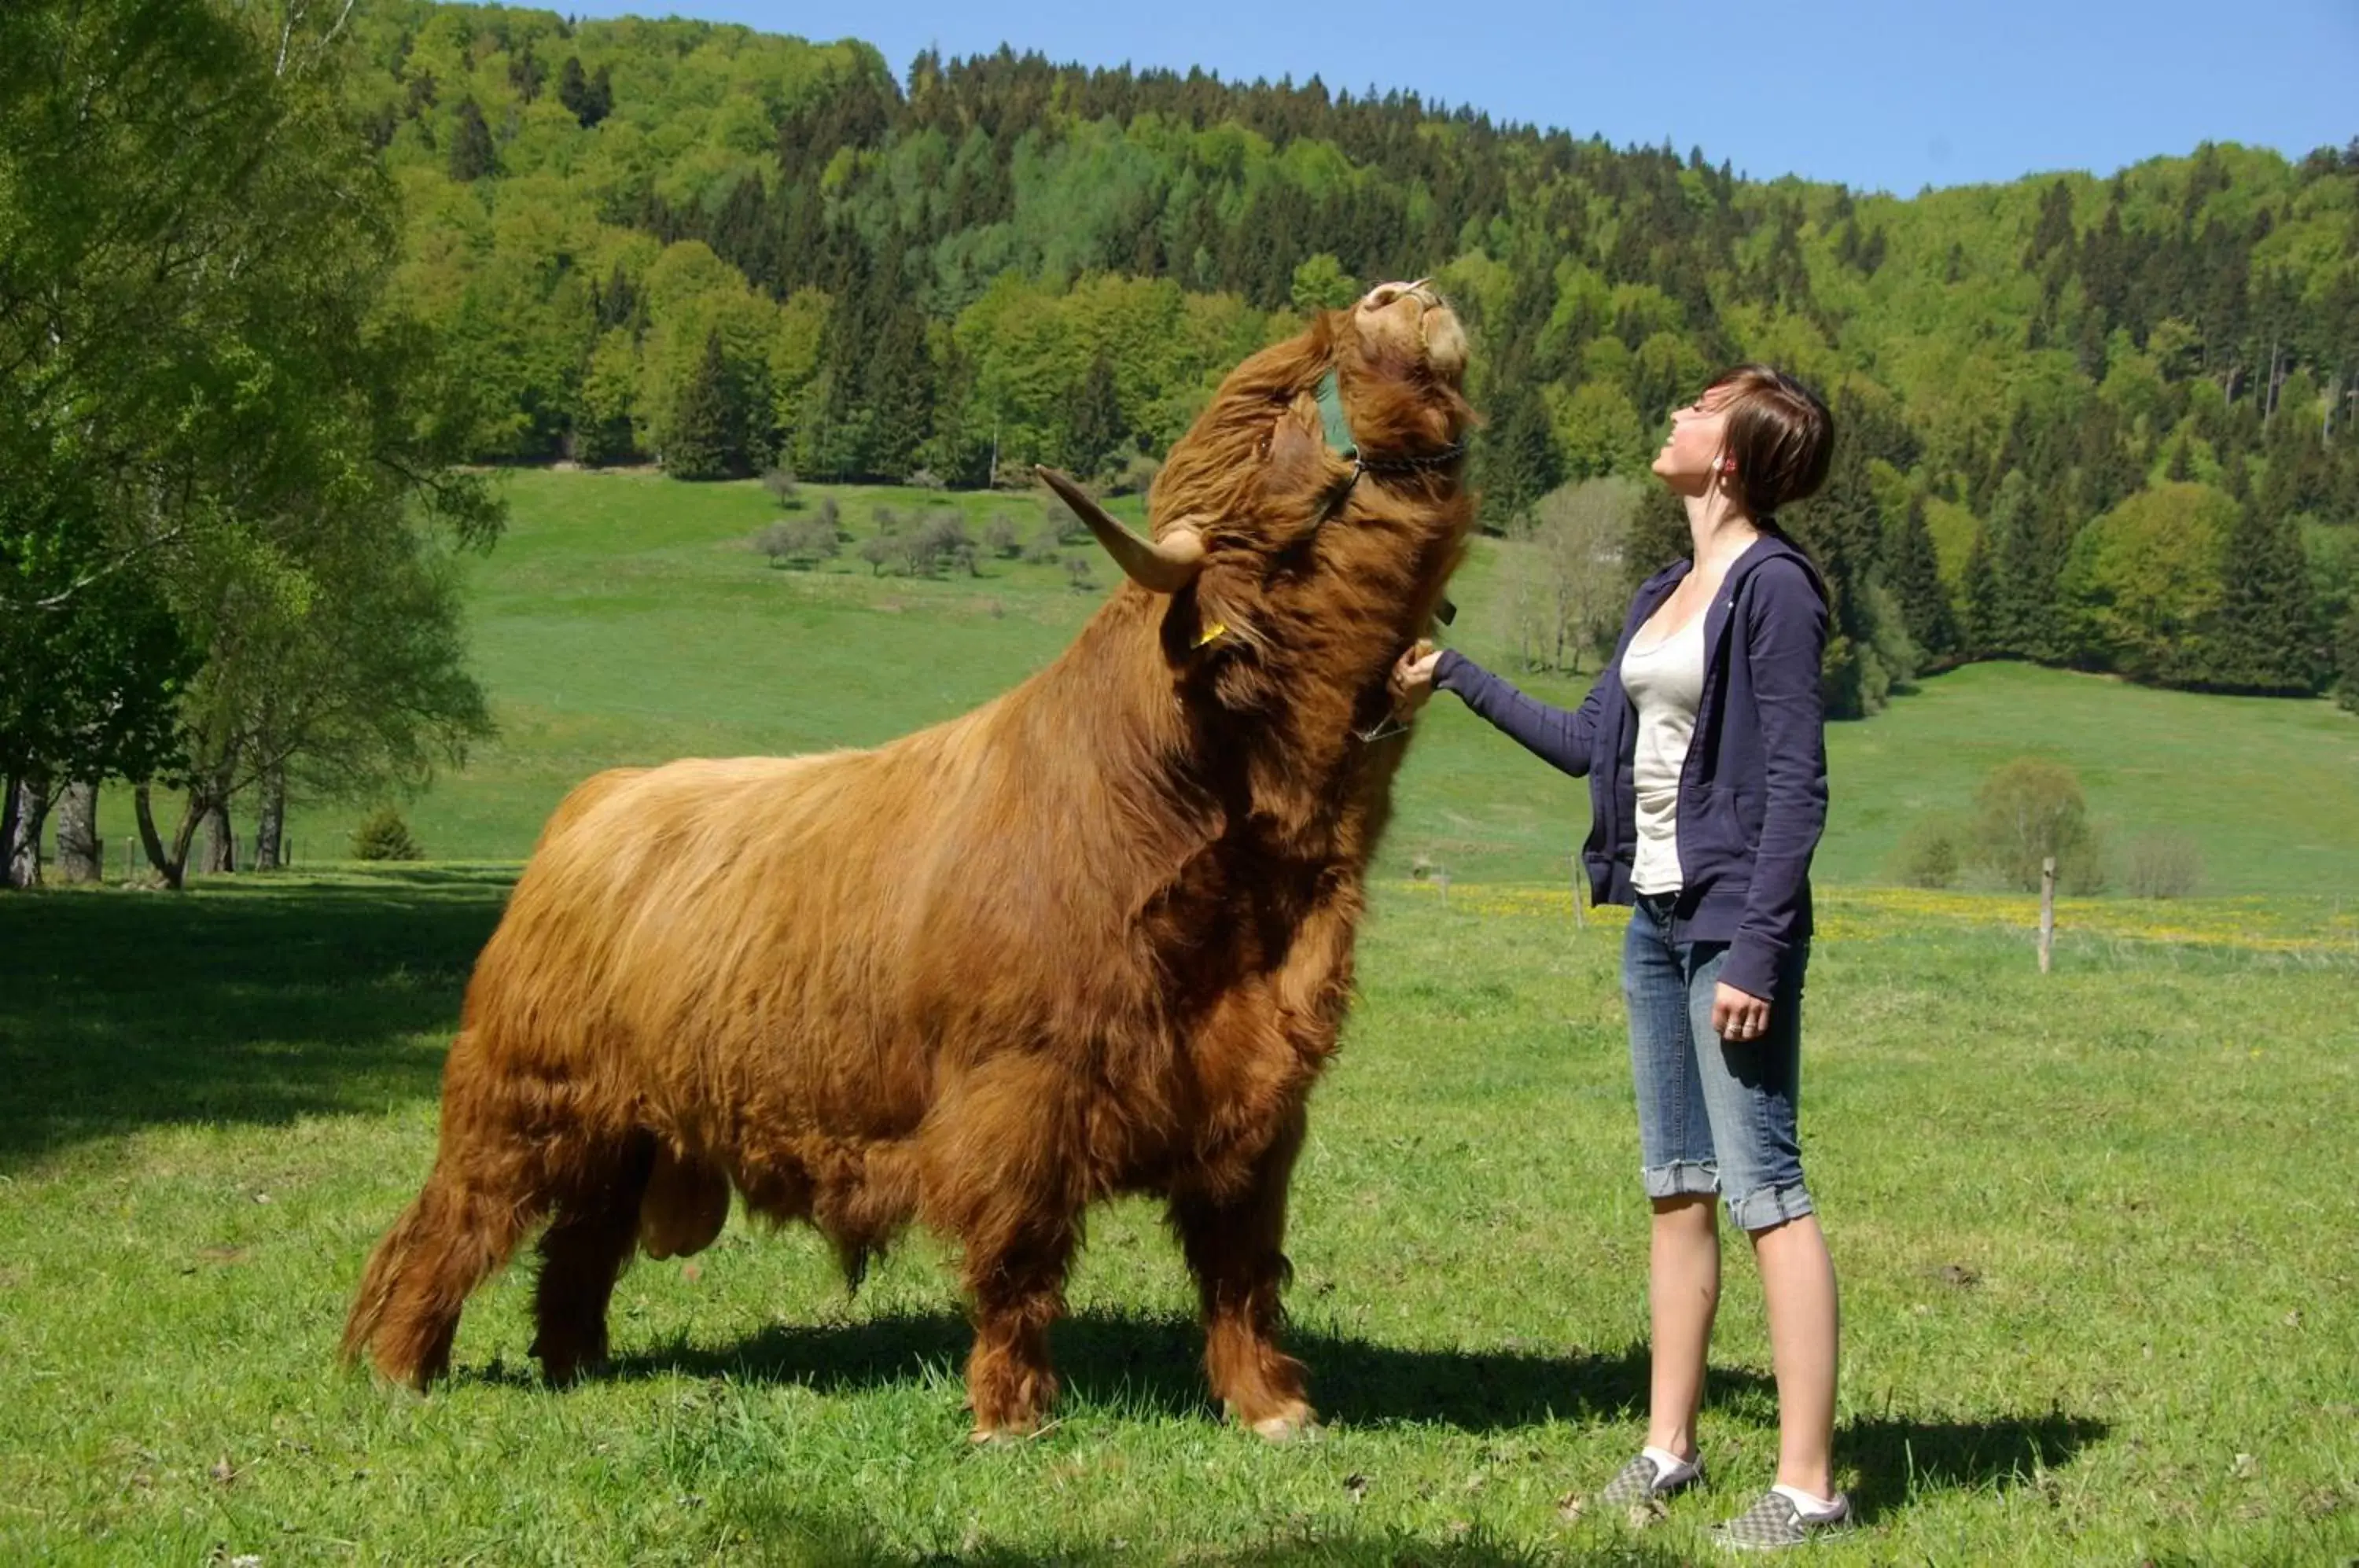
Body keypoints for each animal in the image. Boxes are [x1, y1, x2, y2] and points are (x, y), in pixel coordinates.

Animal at [342, 278, 1472, 1434]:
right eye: (1293, 407)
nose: (1401, 292)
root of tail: (600, 799)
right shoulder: (1016, 1093)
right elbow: (1019, 1261)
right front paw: (1013, 1414)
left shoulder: (1260, 1108)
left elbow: (1241, 1270)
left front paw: (1272, 1406)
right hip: (520, 1097)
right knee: (454, 1224)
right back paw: (399, 1369)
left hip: (630, 1127)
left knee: (579, 1245)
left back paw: (575, 1365)